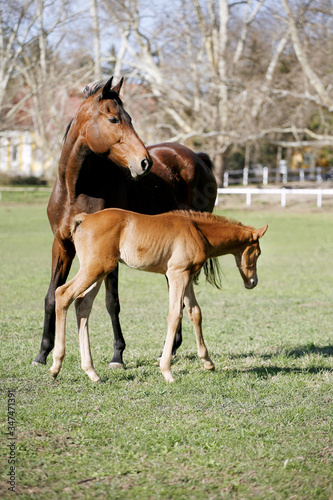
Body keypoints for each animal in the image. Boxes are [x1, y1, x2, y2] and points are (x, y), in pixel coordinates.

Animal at [32, 77, 217, 368]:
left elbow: (112, 302)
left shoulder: (109, 251)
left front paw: (118, 355)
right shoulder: (61, 246)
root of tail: (198, 157)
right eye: (113, 119)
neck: (76, 189)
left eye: (130, 118)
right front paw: (42, 353)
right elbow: (51, 295)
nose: (144, 162)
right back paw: (172, 349)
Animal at [50, 207, 268, 382]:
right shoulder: (177, 274)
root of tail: (84, 218)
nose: (252, 282)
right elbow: (175, 315)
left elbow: (195, 313)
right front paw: (167, 371)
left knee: (82, 305)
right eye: (257, 253)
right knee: (63, 294)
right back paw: (56, 366)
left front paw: (207, 362)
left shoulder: (187, 276)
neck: (198, 231)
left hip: (99, 272)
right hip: (95, 269)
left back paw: (91, 372)